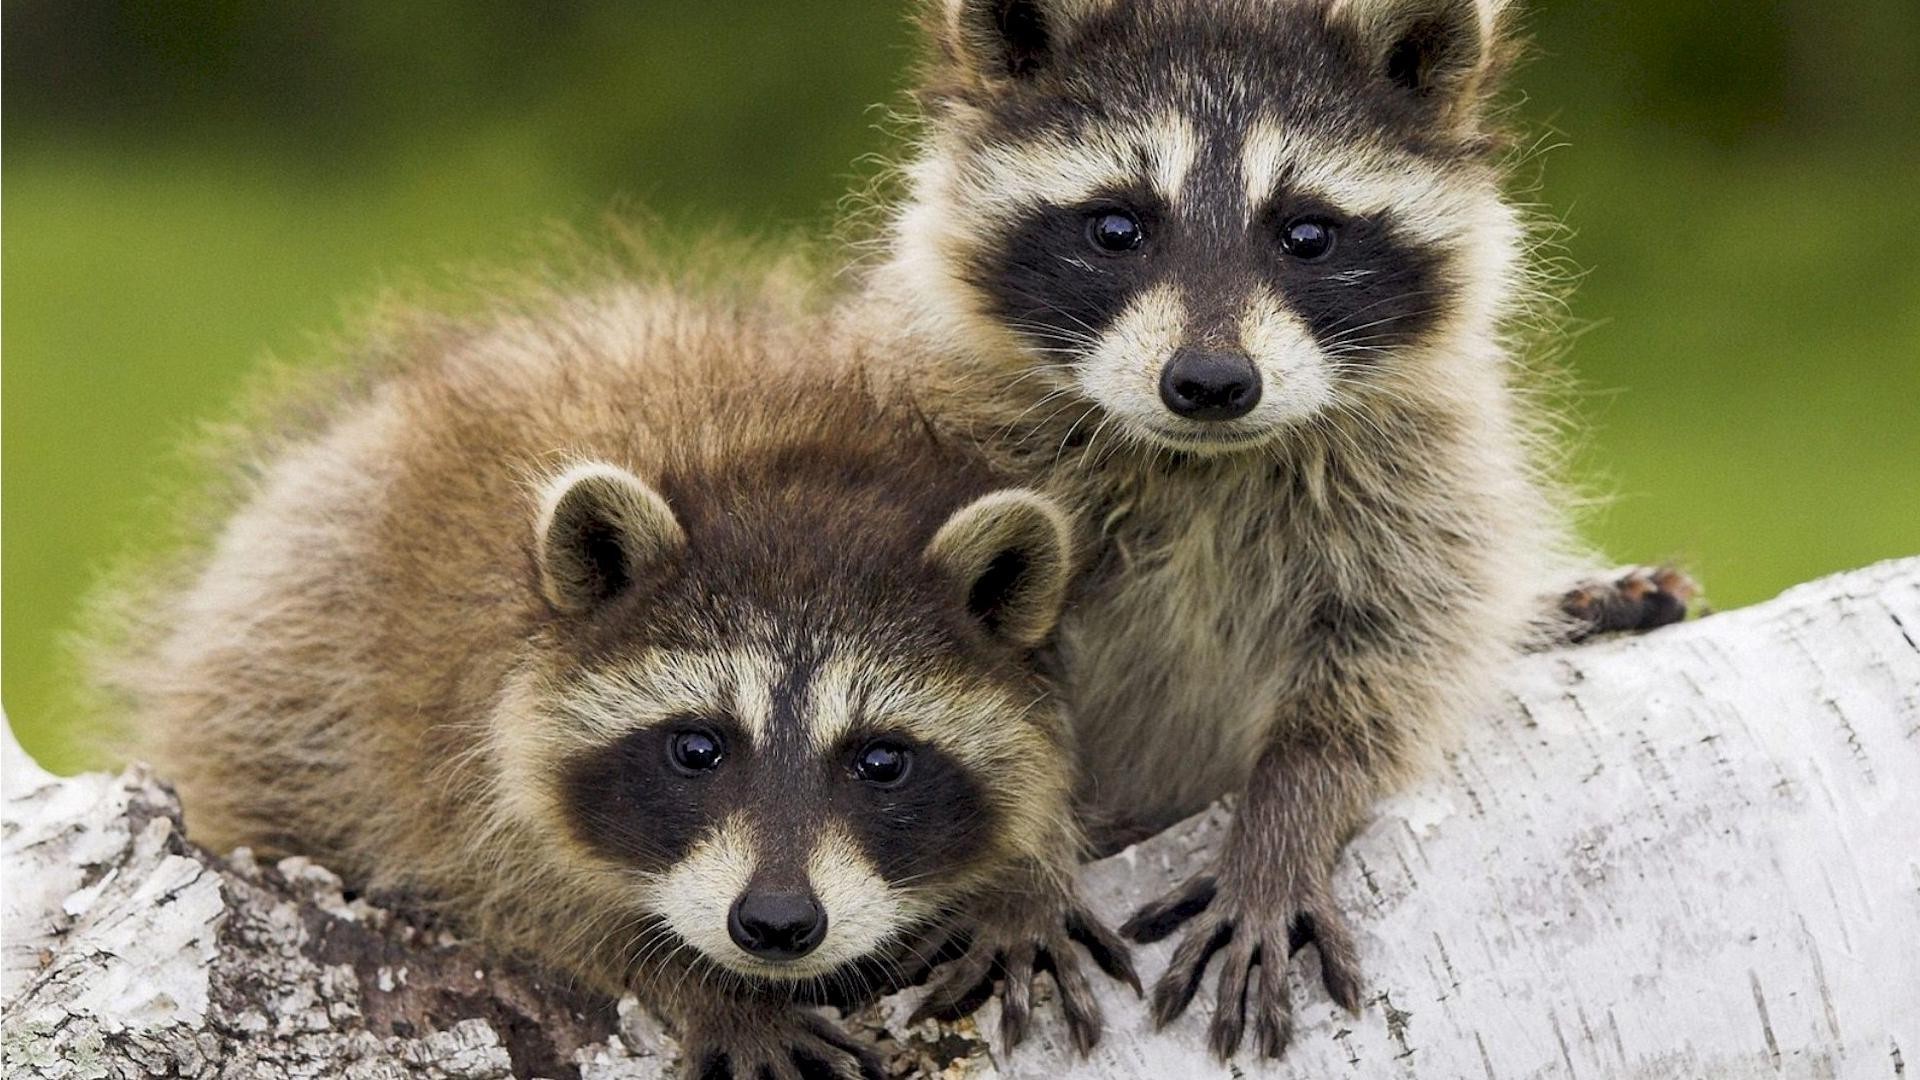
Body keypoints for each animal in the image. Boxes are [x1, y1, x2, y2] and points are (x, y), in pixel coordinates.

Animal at [97, 282, 1128, 1068]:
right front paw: (698, 981)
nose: (777, 924)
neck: (781, 468)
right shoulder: (447, 727)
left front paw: (1026, 874)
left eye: (882, 761)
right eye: (698, 747)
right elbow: (520, 893)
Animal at [840, 0, 1697, 1053]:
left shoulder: (1422, 477)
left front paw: (1286, 819)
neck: (1202, 461)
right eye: (1117, 226)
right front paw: (1022, 875)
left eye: (1308, 234)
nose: (1211, 382)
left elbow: (1389, 664)